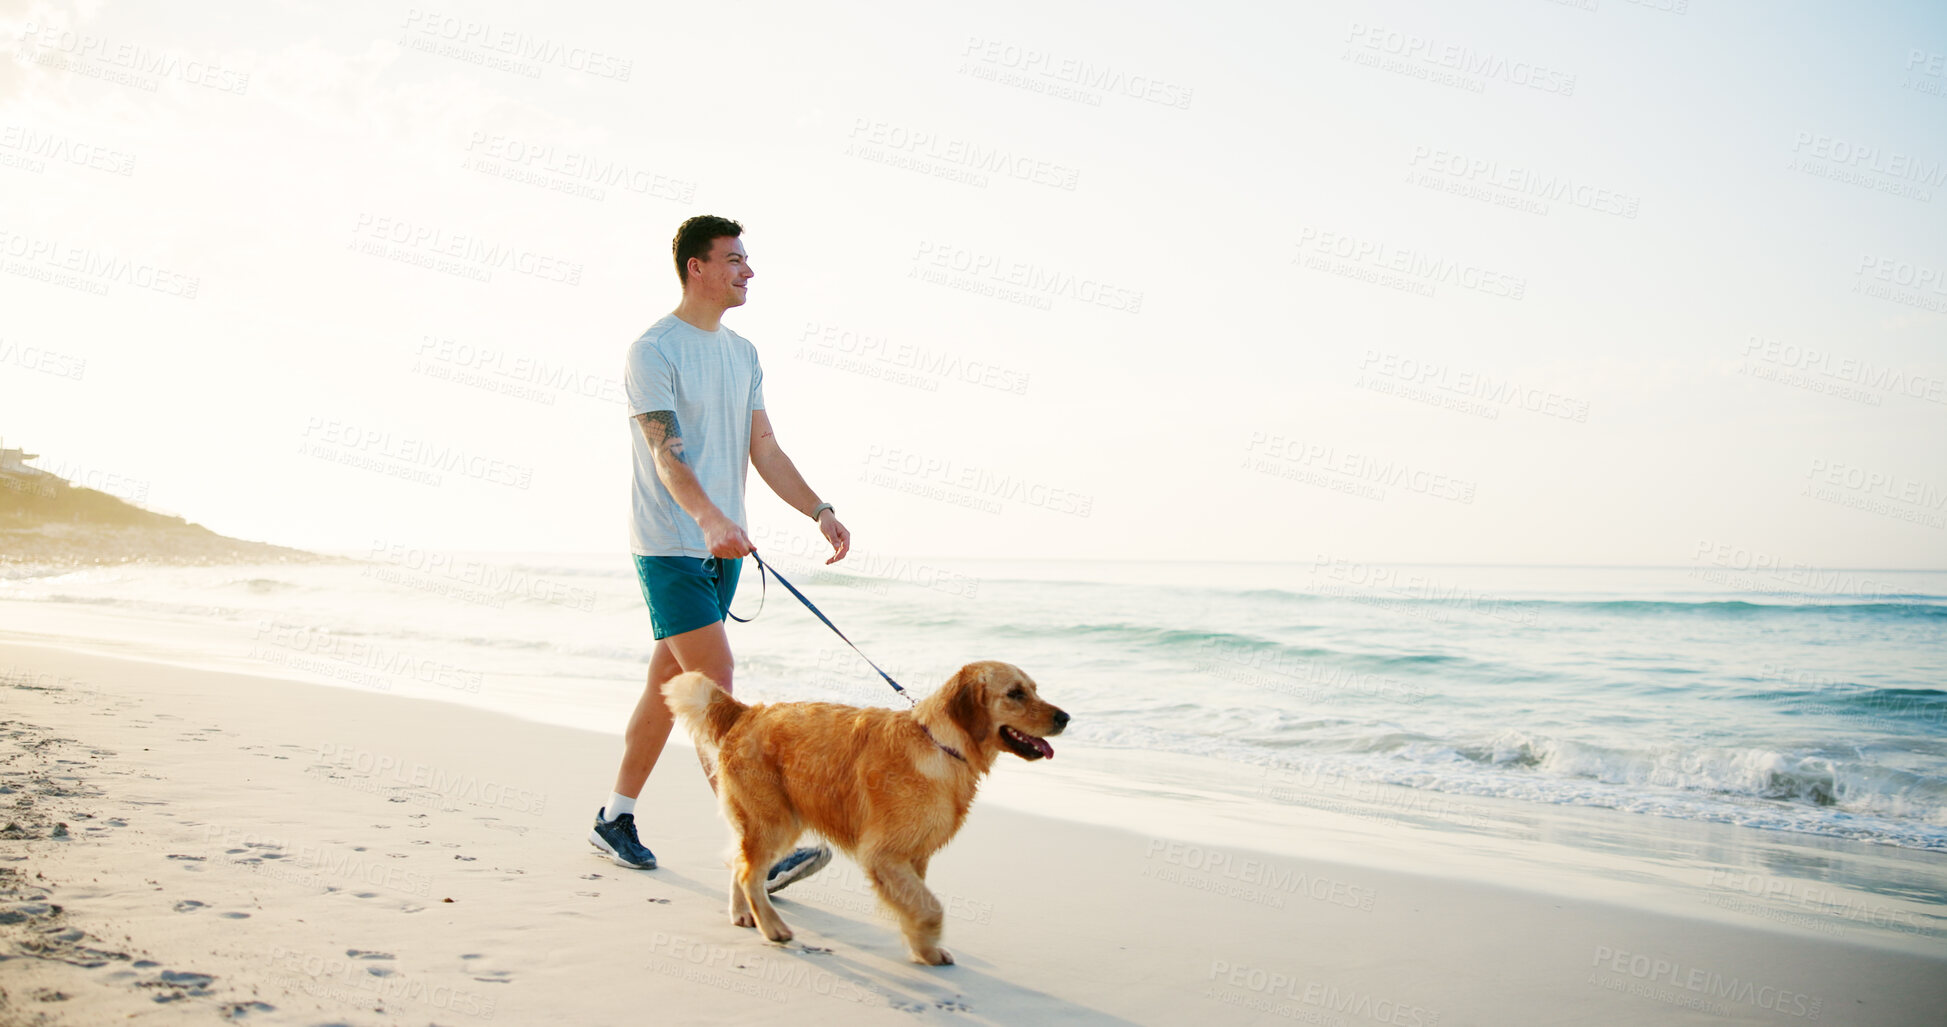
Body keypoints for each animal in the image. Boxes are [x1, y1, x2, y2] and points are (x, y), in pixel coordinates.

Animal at [665, 658, 1066, 966]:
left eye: (1034, 689)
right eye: (1015, 693)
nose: (1065, 717)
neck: (941, 744)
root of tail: (748, 711)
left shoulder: (915, 857)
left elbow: (919, 902)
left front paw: (922, 947)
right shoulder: (883, 854)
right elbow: (931, 907)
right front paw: (929, 946)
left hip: (774, 823)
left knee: (738, 862)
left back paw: (743, 914)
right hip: (775, 822)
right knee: (749, 872)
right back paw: (773, 927)